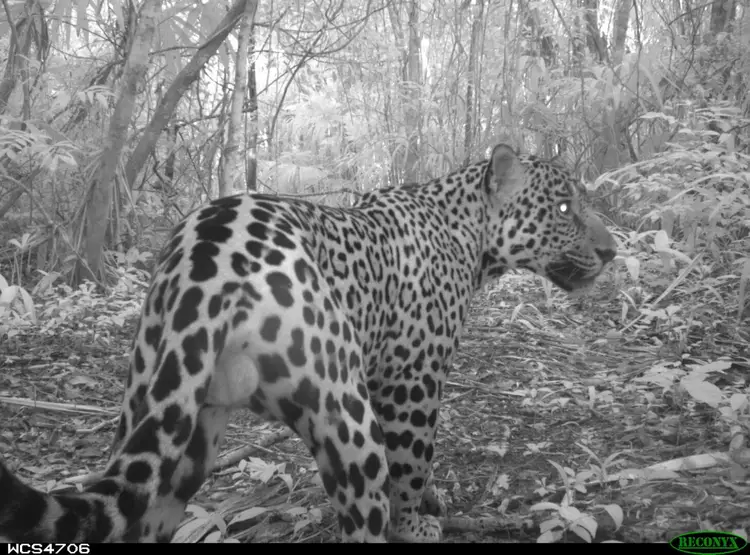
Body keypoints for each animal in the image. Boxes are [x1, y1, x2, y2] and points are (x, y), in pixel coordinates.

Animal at [0, 144, 617, 543]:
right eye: (565, 209)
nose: (612, 251)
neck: (468, 236)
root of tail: (205, 259)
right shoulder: (412, 380)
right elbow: (412, 460)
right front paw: (415, 520)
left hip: (170, 417)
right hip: (344, 414)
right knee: (361, 518)